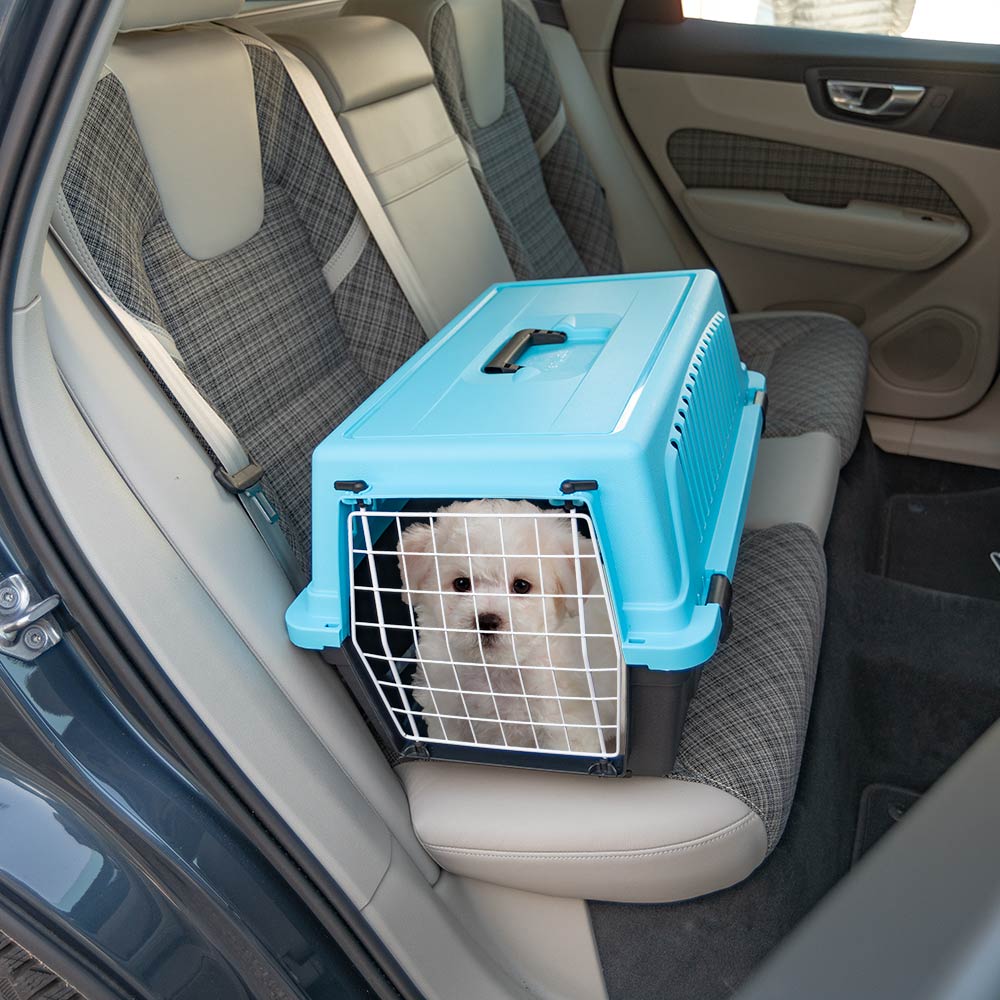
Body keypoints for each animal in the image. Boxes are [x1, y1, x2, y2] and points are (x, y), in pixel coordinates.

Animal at [396, 504, 616, 752]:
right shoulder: (449, 716)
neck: (496, 670)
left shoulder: (566, 728)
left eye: (521, 585)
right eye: (461, 583)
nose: (487, 621)